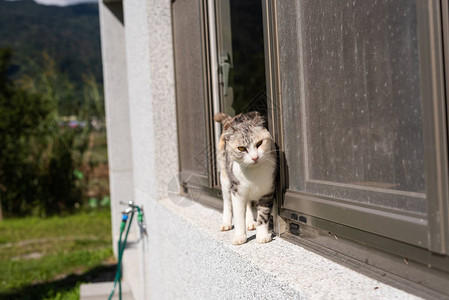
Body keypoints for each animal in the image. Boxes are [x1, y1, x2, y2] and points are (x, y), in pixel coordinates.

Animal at [214, 111, 276, 245]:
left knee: (248, 204)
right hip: (225, 177)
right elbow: (238, 215)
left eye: (259, 143)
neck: (253, 174)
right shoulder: (237, 191)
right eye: (241, 148)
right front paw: (239, 237)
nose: (254, 157)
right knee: (227, 202)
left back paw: (251, 222)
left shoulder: (267, 191)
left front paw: (262, 235)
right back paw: (226, 223)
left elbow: (263, 216)